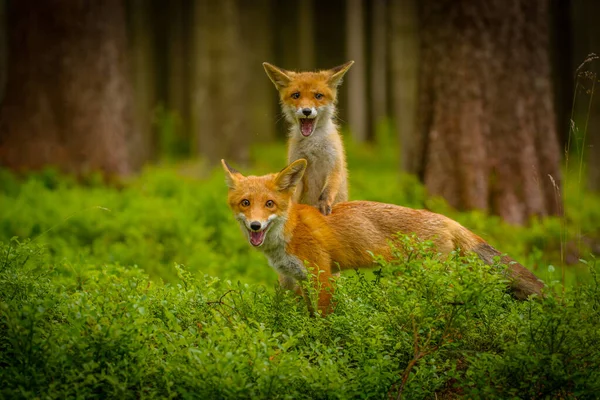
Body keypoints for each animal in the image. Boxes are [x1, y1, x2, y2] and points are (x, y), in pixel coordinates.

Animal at [223, 159, 548, 316]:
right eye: (245, 203)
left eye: (269, 204)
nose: (255, 226)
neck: (288, 231)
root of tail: (447, 219)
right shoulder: (302, 279)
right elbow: (307, 313)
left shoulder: (322, 275)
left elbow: (323, 318)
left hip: (432, 279)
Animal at [264, 60, 356, 216]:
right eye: (296, 95)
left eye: (318, 96)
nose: (306, 111)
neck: (313, 143)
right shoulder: (298, 165)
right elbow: (293, 194)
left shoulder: (334, 165)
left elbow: (326, 192)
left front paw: (323, 205)